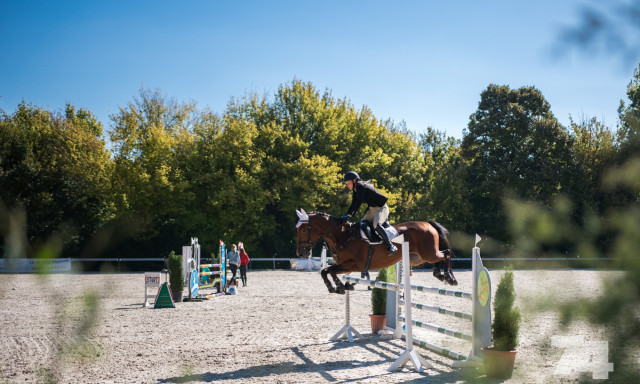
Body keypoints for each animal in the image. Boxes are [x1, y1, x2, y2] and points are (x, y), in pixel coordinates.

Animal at [298, 210, 458, 294]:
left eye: (304, 229)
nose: (300, 253)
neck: (344, 236)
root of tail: (427, 224)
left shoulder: (355, 264)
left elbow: (330, 271)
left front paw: (341, 287)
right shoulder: (344, 266)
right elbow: (325, 271)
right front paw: (335, 287)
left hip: (428, 254)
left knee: (446, 253)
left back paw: (449, 277)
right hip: (419, 258)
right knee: (441, 257)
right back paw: (440, 275)